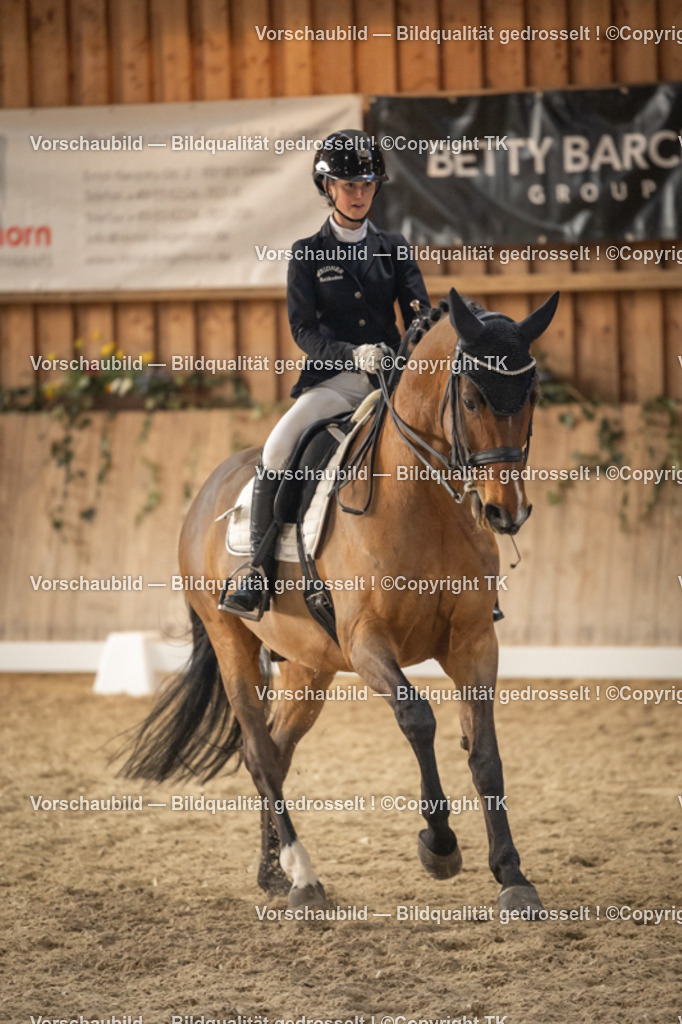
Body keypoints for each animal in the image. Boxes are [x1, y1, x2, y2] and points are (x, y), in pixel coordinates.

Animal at [120, 287, 559, 916]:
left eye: (532, 396)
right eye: (473, 397)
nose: (506, 511)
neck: (426, 504)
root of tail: (208, 490)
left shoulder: (475, 641)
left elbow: (485, 752)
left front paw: (512, 875)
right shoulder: (366, 643)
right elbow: (417, 719)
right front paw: (439, 845)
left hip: (309, 666)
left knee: (277, 751)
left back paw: (274, 873)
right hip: (233, 642)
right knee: (258, 752)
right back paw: (303, 878)